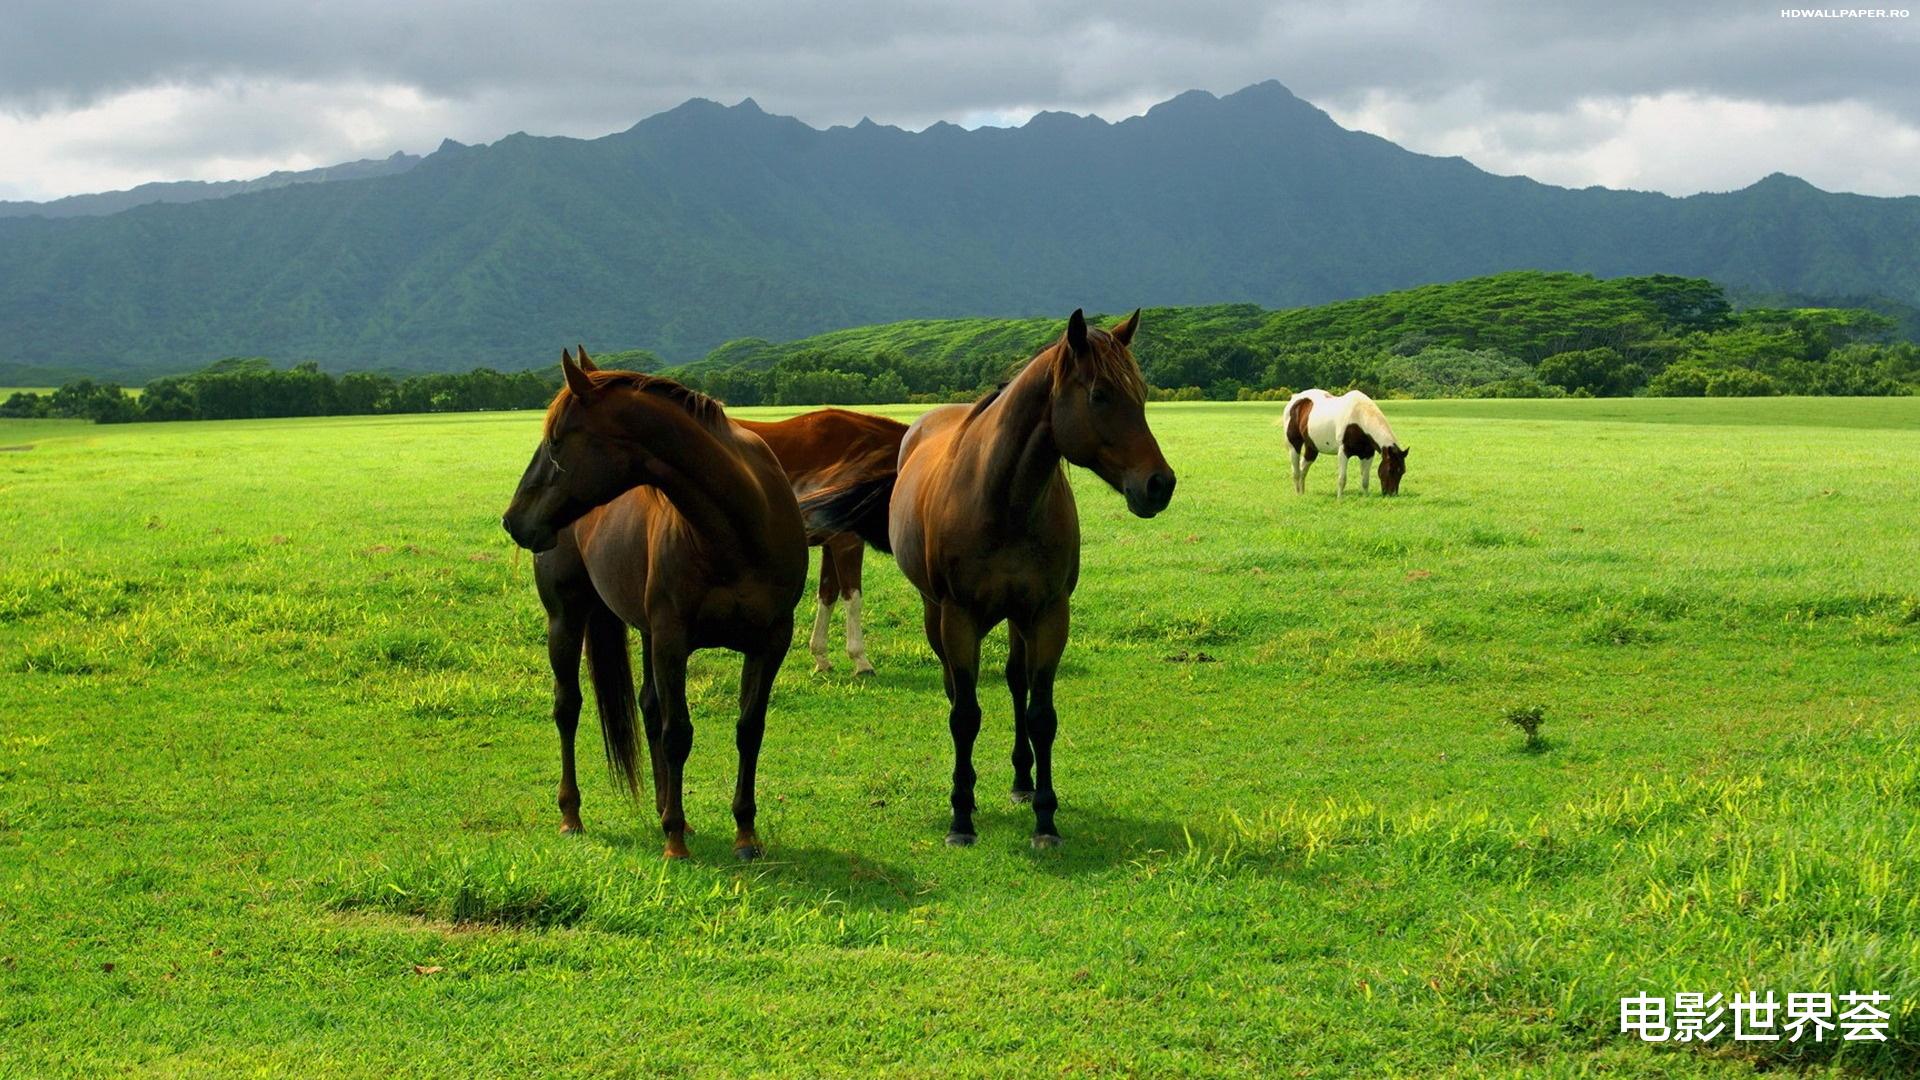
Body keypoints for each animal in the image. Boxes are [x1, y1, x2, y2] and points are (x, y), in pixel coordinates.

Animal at [499, 345, 806, 857]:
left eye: (557, 442)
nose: (513, 520)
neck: (738, 528)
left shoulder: (771, 641)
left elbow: (749, 730)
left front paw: (745, 833)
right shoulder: (672, 639)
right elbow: (677, 732)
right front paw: (675, 841)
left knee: (647, 706)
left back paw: (665, 809)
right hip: (567, 619)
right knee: (568, 707)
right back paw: (573, 814)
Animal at [737, 409, 910, 672]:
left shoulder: (831, 544)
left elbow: (827, 595)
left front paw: (821, 657)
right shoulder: (847, 542)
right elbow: (852, 597)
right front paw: (860, 660)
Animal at [806, 307, 1167, 845]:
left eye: (1141, 394)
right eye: (1100, 395)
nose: (1160, 484)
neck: (1004, 500)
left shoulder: (1048, 614)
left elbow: (1041, 714)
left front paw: (1045, 816)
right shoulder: (958, 618)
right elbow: (965, 714)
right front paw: (961, 814)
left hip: (1018, 618)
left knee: (1017, 683)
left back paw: (1021, 780)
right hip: (936, 613)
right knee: (956, 690)